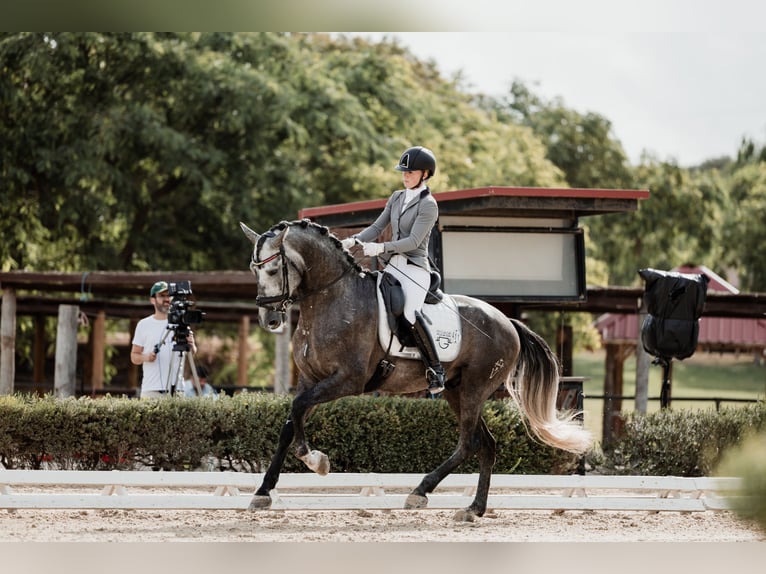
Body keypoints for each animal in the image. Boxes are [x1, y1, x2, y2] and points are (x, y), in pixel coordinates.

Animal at [240, 219, 592, 520]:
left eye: (273, 268)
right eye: (253, 270)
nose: (269, 320)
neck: (331, 298)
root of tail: (507, 321)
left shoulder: (346, 380)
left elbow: (298, 410)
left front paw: (314, 459)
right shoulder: (311, 379)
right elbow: (290, 421)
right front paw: (263, 492)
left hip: (475, 388)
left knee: (468, 443)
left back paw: (420, 492)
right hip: (456, 390)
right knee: (486, 444)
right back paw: (473, 509)